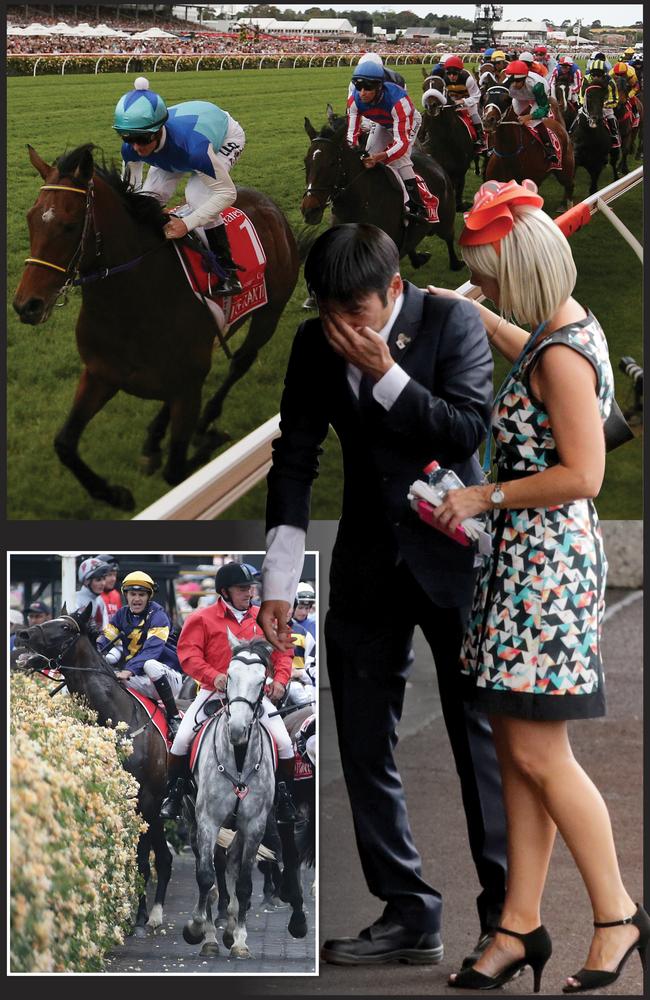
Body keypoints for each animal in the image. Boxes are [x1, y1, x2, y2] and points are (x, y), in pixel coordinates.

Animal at [12, 145, 298, 512]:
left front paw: (210, 440)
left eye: (70, 225)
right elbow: (64, 443)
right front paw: (116, 494)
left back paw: (206, 420)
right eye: (30, 218)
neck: (132, 307)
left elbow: (177, 472)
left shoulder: (187, 387)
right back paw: (153, 440)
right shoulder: (100, 374)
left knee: (240, 362)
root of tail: (271, 207)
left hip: (268, 313)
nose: (27, 305)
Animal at [18, 600, 173, 936]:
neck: (119, 716)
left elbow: (142, 860)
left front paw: (138, 919)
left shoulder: (146, 799)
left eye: (65, 627)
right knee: (166, 857)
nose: (22, 634)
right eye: (52, 618)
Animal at [302, 121, 460, 274]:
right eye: (305, 161)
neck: (360, 203)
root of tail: (432, 161)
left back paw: (456, 263)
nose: (309, 210)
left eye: (332, 163)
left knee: (449, 236)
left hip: (446, 216)